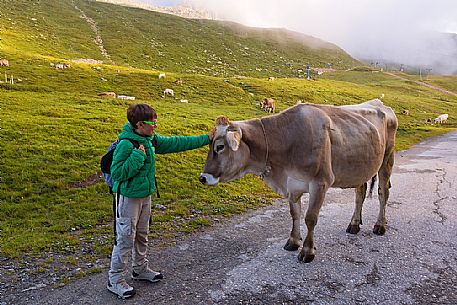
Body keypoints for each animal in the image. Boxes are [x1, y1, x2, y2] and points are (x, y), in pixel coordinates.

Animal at [200, 99, 396, 262]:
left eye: (220, 147)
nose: (203, 177)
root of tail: (381, 104)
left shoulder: (320, 183)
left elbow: (310, 218)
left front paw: (307, 251)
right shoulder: (292, 185)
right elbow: (295, 214)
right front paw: (293, 241)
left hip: (386, 160)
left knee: (383, 193)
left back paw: (380, 225)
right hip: (361, 167)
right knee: (360, 193)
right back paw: (354, 224)